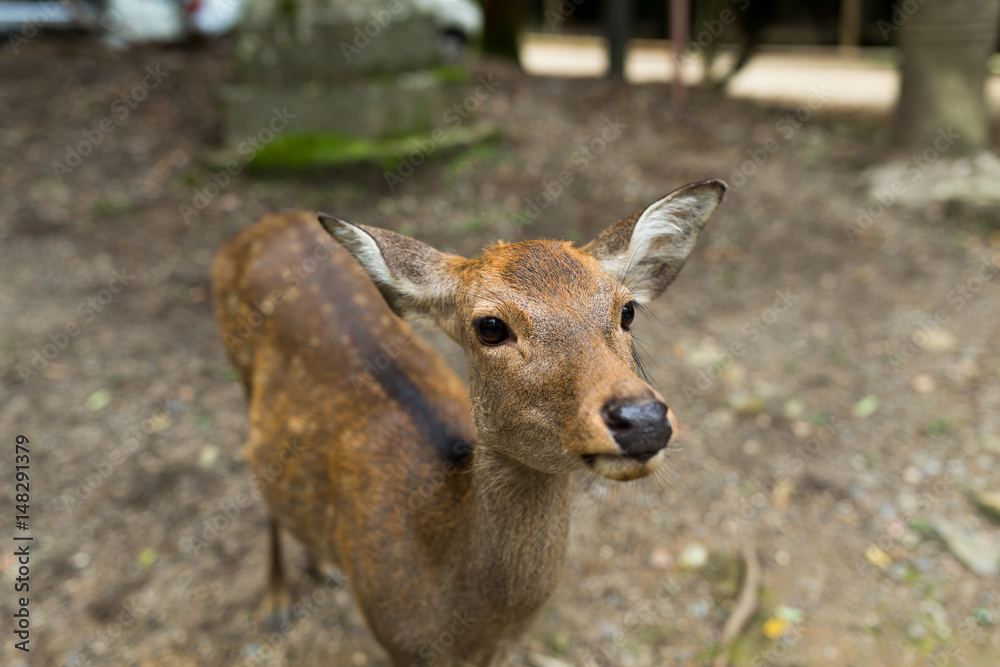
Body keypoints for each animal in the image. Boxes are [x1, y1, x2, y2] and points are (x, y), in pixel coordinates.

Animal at [211, 179, 726, 666]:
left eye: (627, 310)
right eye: (490, 326)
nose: (642, 418)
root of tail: (266, 223)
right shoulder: (395, 638)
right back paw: (276, 601)